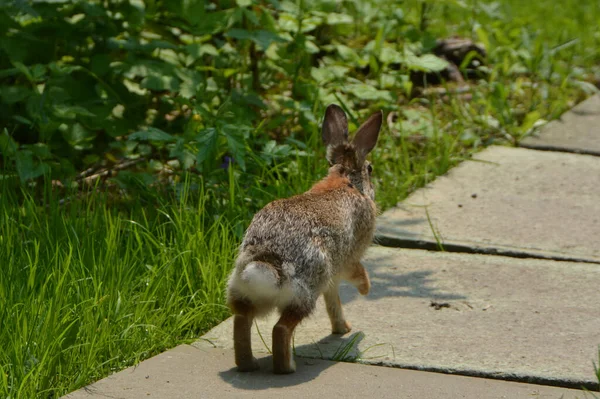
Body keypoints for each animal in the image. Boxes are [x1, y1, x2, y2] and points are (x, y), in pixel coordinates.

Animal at [225, 104, 384, 376]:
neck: (346, 180)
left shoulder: (332, 279)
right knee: (281, 329)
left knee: (241, 322)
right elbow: (357, 273)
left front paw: (342, 328)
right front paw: (365, 290)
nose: (374, 183)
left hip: (243, 290)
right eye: (370, 168)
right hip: (305, 291)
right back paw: (287, 368)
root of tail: (266, 266)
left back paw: (249, 365)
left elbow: (334, 301)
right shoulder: (349, 258)